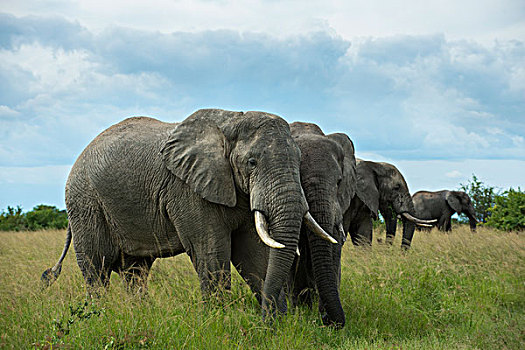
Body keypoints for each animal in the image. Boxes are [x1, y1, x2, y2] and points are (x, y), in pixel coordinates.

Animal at [43, 108, 334, 320]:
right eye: (252, 162)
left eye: (299, 160)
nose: (267, 318)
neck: (231, 121)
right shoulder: (187, 190)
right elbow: (212, 250)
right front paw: (219, 321)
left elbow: (253, 254)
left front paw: (277, 324)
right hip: (86, 203)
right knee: (97, 269)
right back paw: (97, 316)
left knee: (135, 271)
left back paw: (139, 314)